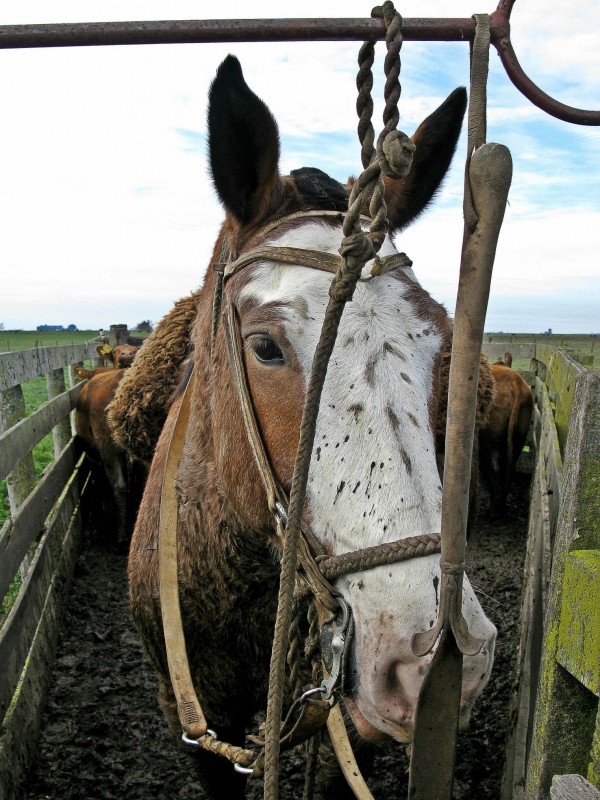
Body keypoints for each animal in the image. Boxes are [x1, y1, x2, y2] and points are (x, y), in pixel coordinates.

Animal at [480, 360, 532, 516]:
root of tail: (515, 380)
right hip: (519, 438)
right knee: (511, 468)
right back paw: (502, 506)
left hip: (492, 442)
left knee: (495, 469)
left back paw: (492, 511)